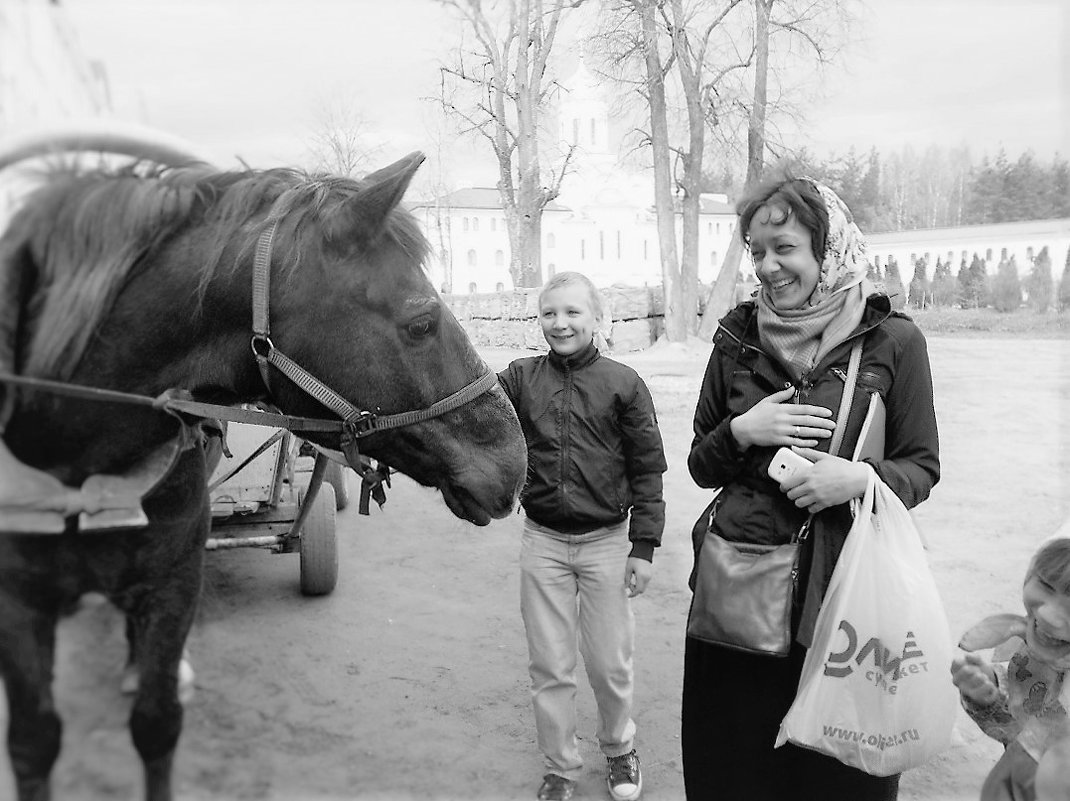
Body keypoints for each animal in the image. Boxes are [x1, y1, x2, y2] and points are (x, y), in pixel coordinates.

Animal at [0, 131, 526, 799]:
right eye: (422, 321)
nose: (515, 459)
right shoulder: (17, 606)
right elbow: (34, 741)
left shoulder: (174, 582)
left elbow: (156, 723)